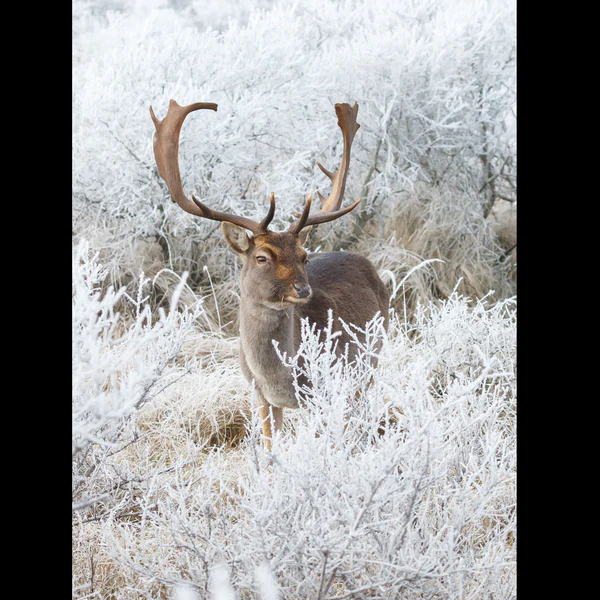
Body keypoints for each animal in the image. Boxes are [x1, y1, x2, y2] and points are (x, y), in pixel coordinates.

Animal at [150, 98, 390, 448]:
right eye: (262, 257)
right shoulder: (259, 395)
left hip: (369, 360)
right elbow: (269, 450)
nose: (303, 290)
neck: (277, 376)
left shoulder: (320, 388)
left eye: (304, 256)